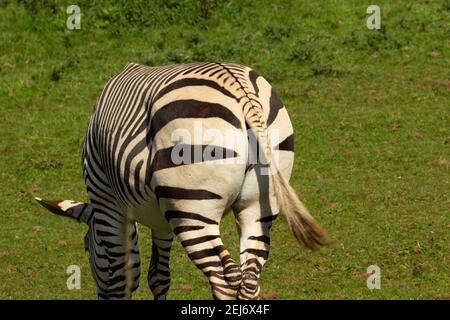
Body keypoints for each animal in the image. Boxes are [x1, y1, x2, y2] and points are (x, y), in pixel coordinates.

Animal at [34, 61, 324, 298]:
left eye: (86, 247)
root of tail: (237, 84)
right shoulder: (162, 218)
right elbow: (158, 276)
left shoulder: (106, 203)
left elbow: (121, 280)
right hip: (259, 203)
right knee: (250, 277)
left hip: (193, 208)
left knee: (223, 279)